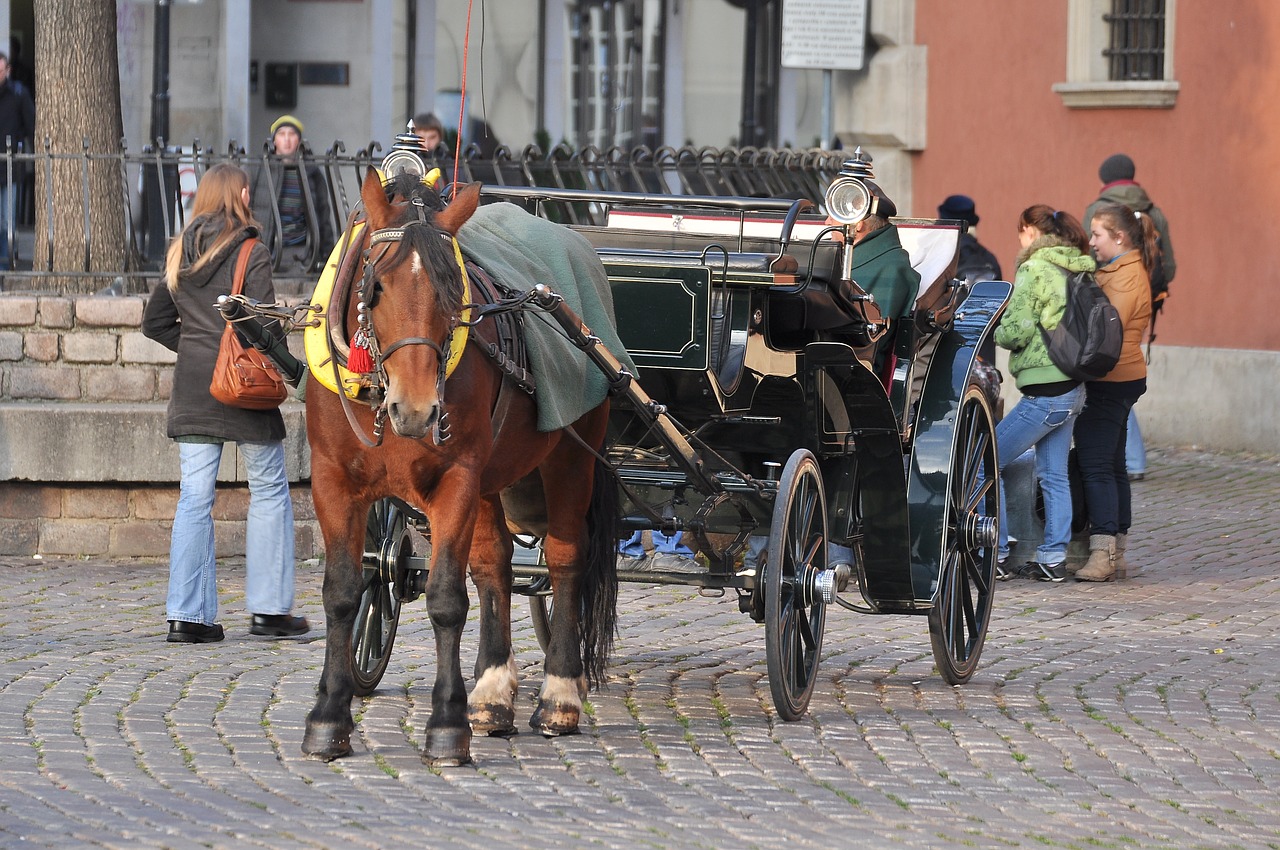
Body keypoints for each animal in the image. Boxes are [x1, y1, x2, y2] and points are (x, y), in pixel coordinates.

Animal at [300, 168, 619, 768]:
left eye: (454, 293)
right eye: (375, 287)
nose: (417, 408)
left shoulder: (456, 481)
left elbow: (447, 598)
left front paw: (447, 726)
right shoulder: (334, 482)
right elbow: (343, 592)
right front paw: (328, 717)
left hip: (570, 456)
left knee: (566, 558)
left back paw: (559, 697)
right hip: (495, 478)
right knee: (495, 563)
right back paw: (492, 694)